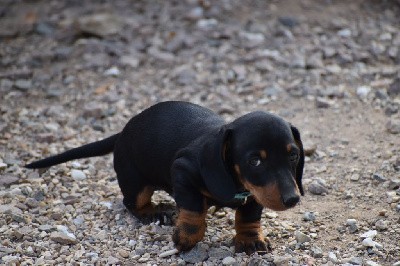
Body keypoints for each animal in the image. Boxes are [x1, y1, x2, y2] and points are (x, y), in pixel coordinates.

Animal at [26, 101, 304, 255]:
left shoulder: (256, 191)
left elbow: (248, 215)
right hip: (135, 182)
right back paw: (154, 212)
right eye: (255, 160)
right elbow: (193, 210)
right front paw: (187, 236)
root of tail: (123, 132)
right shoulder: (182, 172)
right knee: (132, 203)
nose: (292, 199)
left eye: (293, 156)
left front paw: (250, 239)